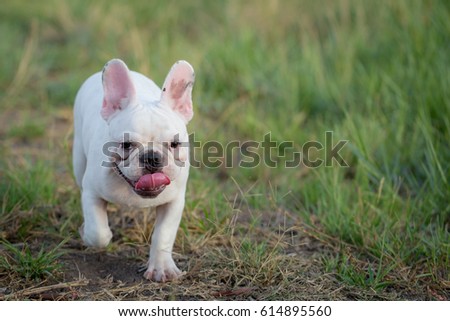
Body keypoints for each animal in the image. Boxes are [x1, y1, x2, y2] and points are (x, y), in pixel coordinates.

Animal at [72, 58, 195, 282]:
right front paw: (86, 232)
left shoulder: (174, 202)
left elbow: (164, 234)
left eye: (175, 144)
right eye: (126, 144)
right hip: (78, 160)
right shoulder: (91, 193)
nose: (152, 157)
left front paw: (161, 268)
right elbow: (98, 233)